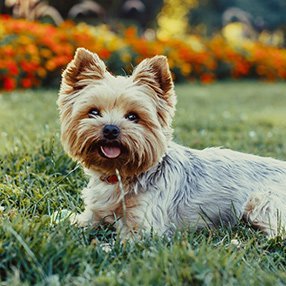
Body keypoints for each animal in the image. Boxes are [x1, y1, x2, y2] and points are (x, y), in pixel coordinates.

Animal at [57, 48, 284, 238]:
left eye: (133, 117)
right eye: (94, 112)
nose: (111, 129)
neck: (120, 174)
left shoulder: (144, 229)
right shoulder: (93, 214)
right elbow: (75, 221)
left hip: (262, 202)